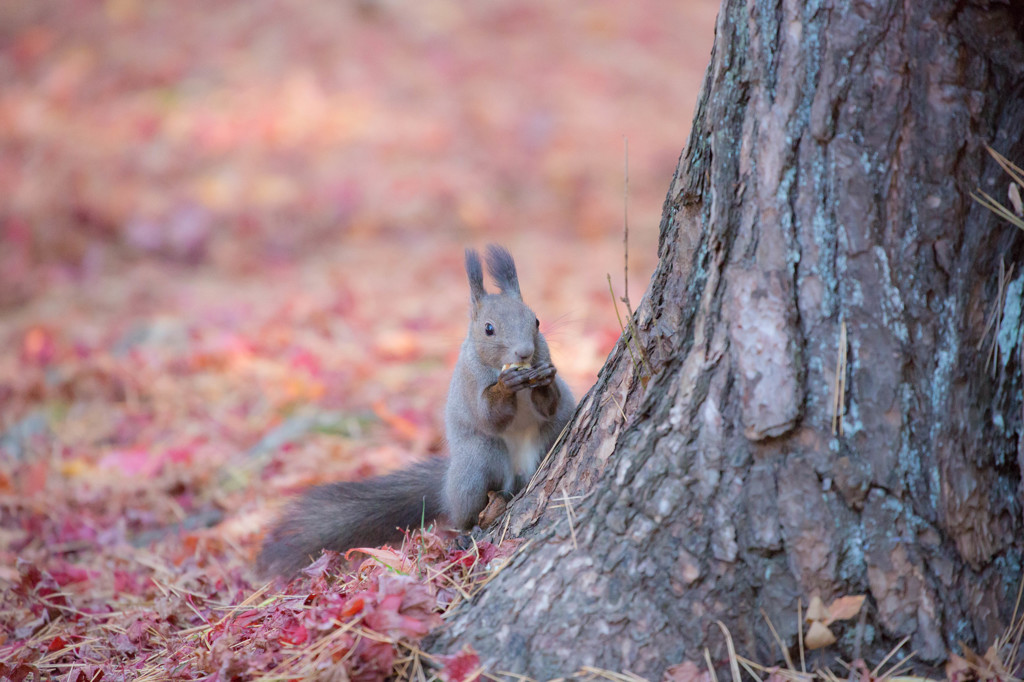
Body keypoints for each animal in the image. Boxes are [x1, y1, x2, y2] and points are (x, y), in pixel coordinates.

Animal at [256, 244, 577, 573]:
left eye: (536, 321)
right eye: (489, 329)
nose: (524, 353)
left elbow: (550, 406)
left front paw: (545, 379)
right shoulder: (470, 383)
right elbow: (489, 416)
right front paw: (505, 385)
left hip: (548, 443)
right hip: (478, 463)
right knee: (466, 508)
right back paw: (466, 531)